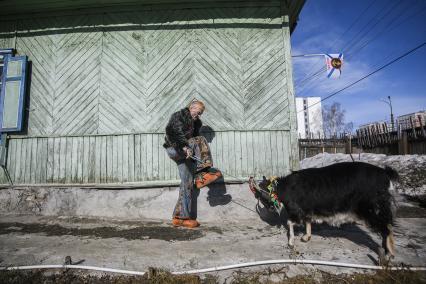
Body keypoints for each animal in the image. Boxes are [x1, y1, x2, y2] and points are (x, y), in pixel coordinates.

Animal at [250, 162, 400, 264]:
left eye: (260, 195)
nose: (270, 209)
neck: (284, 187)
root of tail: (385, 174)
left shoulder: (296, 211)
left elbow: (290, 222)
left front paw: (291, 242)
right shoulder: (306, 210)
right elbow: (308, 222)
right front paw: (306, 237)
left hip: (373, 211)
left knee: (386, 230)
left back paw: (387, 255)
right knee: (388, 228)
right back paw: (388, 253)